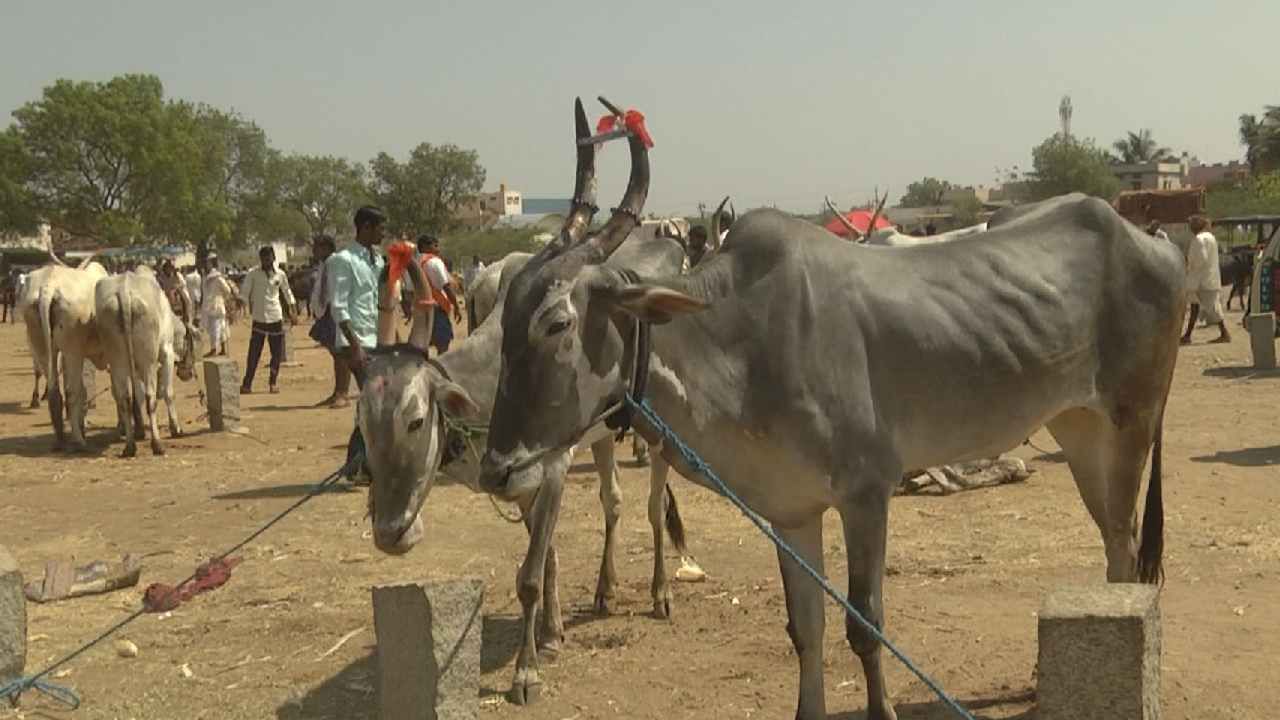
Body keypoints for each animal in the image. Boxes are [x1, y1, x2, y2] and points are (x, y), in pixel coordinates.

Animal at [94, 269, 197, 453]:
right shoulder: (166, 354)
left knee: (125, 398)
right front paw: (176, 428)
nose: (189, 372)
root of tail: (124, 291)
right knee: (150, 397)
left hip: (117, 360)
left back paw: (130, 446)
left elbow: (136, 396)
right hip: (148, 360)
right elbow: (167, 393)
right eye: (190, 339)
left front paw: (140, 430)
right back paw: (157, 444)